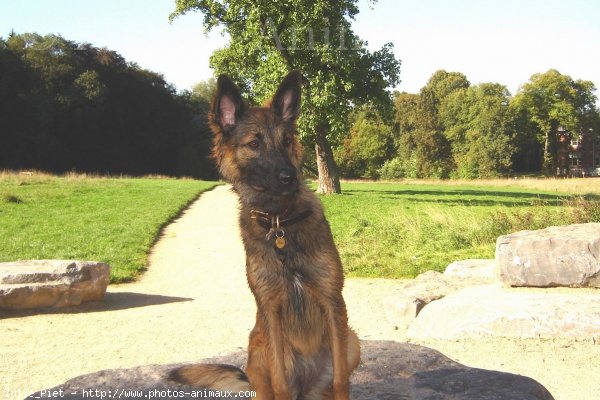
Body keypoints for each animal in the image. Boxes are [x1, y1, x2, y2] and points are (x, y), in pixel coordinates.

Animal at [169, 70, 358, 398]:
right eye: (255, 143)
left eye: (286, 140)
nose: (290, 177)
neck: (280, 221)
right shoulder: (271, 309)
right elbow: (280, 383)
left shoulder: (332, 301)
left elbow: (340, 380)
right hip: (256, 351)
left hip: (352, 340)